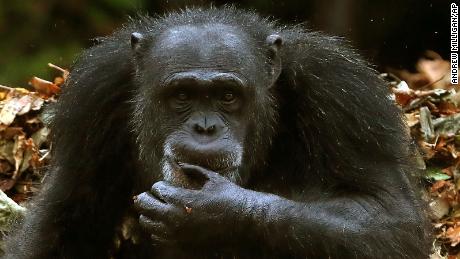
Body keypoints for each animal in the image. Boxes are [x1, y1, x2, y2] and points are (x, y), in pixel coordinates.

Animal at [4, 6, 432, 259]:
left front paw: (214, 213)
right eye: (182, 95)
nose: (205, 127)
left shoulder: (345, 93)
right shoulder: (91, 96)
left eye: (228, 96)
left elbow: (386, 215)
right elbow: (64, 219)